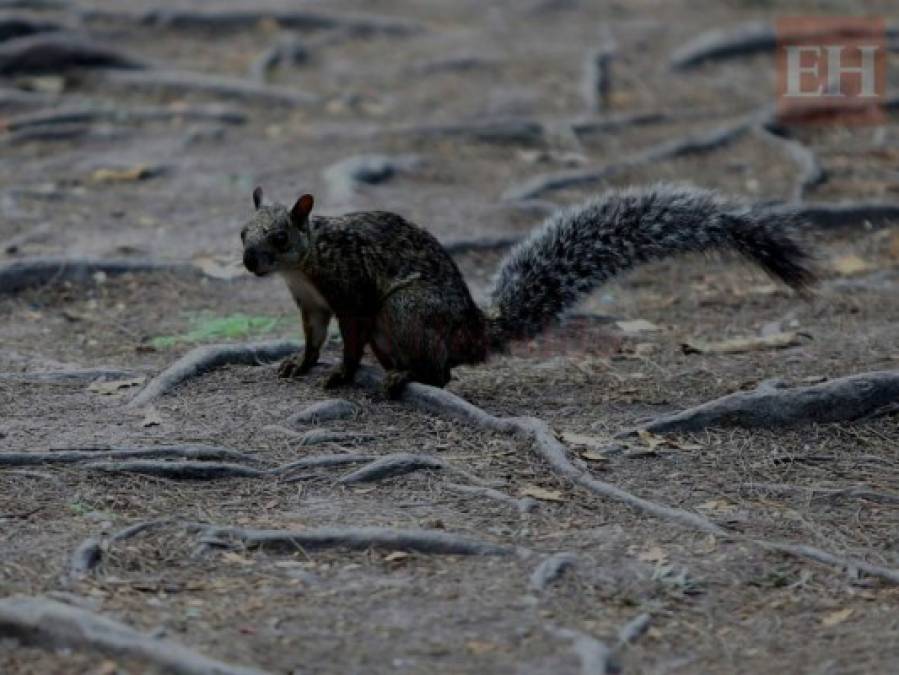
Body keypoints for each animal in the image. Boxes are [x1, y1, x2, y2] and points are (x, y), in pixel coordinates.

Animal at [241, 182, 816, 398]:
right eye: (242, 232)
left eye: (280, 236)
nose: (250, 261)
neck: (305, 264)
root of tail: (474, 332)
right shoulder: (310, 304)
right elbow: (313, 337)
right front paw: (299, 363)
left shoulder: (352, 292)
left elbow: (351, 338)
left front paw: (339, 374)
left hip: (405, 309)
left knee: (442, 371)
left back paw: (407, 376)